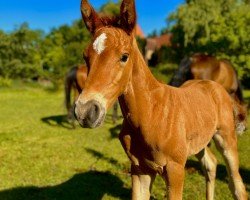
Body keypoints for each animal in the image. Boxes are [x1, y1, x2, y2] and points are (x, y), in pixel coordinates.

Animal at [73, 0, 246, 199]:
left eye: (124, 56)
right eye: (85, 56)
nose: (85, 111)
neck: (150, 113)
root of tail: (214, 85)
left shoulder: (175, 169)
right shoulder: (139, 169)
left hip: (227, 139)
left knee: (237, 185)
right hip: (200, 142)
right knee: (210, 164)